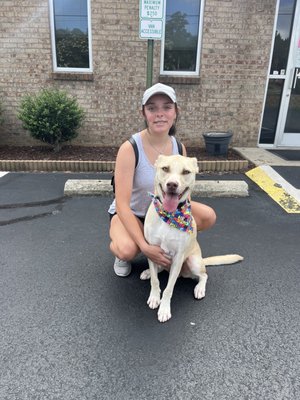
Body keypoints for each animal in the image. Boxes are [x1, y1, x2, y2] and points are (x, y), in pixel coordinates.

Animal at [141, 155, 244, 324]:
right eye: (165, 168)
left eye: (186, 172)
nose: (172, 184)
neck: (170, 215)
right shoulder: (152, 250)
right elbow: (155, 281)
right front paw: (155, 297)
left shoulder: (178, 257)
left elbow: (169, 289)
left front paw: (164, 309)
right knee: (160, 269)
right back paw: (148, 272)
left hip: (192, 262)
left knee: (204, 275)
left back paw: (200, 288)